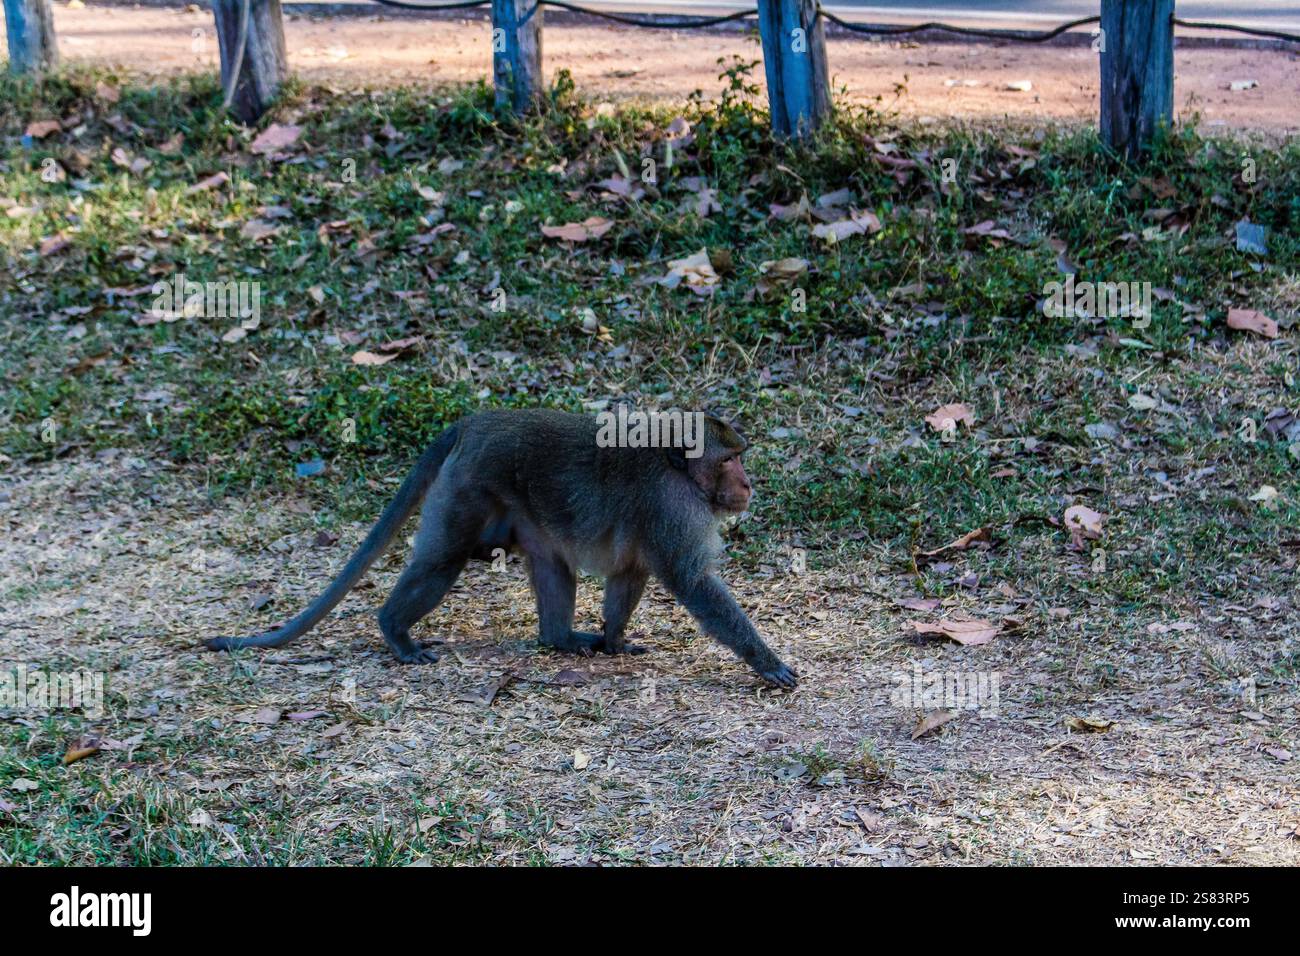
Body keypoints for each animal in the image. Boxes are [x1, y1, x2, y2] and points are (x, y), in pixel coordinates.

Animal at [206, 409, 798, 688]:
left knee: (553, 567)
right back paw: (395, 631)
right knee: (442, 560)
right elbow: (692, 582)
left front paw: (613, 640)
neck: (676, 468)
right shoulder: (672, 508)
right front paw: (766, 661)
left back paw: (560, 639)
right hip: (466, 489)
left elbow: (630, 573)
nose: (748, 485)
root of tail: (473, 422)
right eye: (730, 460)